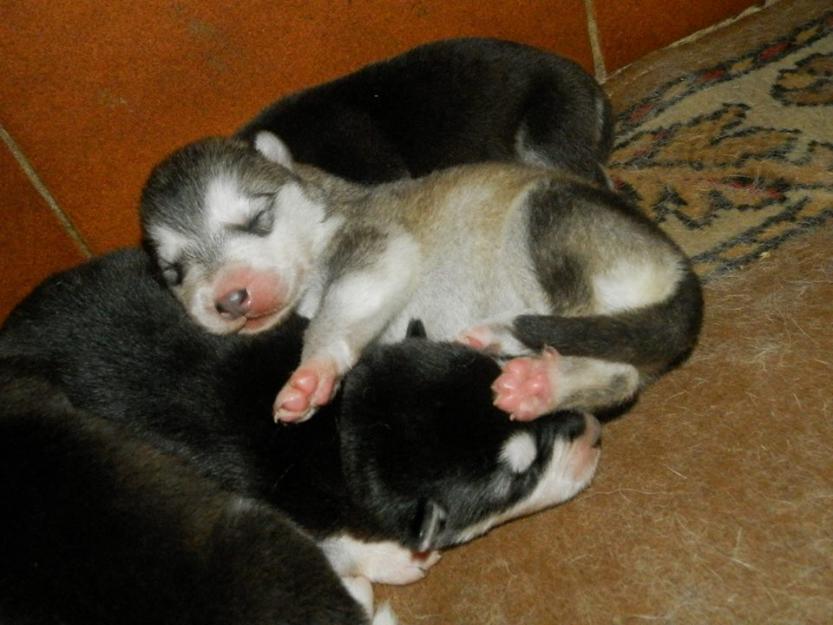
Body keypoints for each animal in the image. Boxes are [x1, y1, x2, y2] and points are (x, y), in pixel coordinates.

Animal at [0, 249, 600, 624]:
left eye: (500, 370)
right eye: (520, 475)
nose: (594, 434)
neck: (342, 427)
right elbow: (337, 538)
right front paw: (391, 559)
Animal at [140, 133, 700, 422]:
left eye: (258, 219)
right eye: (173, 271)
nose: (230, 299)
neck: (324, 211)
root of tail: (679, 269)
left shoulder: (376, 249)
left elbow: (331, 317)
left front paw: (311, 373)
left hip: (545, 218)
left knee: (597, 350)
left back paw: (527, 362)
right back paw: (520, 362)